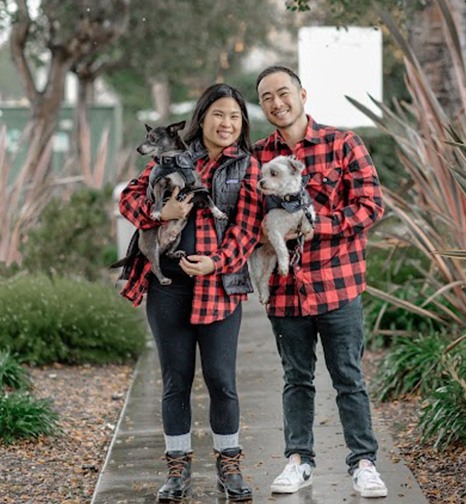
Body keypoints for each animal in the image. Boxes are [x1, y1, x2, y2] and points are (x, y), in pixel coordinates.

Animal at [114, 118, 228, 284]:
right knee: (154, 265)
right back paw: (163, 279)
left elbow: (210, 200)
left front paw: (218, 213)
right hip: (152, 245)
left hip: (177, 237)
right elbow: (158, 200)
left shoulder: (198, 189)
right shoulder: (160, 184)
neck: (173, 161)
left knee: (167, 254)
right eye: (146, 136)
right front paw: (156, 212)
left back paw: (176, 254)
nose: (138, 149)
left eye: (153, 137)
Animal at [248, 154, 316, 304]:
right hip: (258, 263)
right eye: (262, 174)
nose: (261, 182)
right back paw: (263, 295)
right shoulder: (273, 230)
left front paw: (305, 226)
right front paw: (284, 266)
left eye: (274, 173)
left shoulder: (306, 207)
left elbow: (308, 218)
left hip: (271, 262)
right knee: (259, 280)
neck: (289, 201)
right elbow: (282, 249)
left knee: (264, 279)